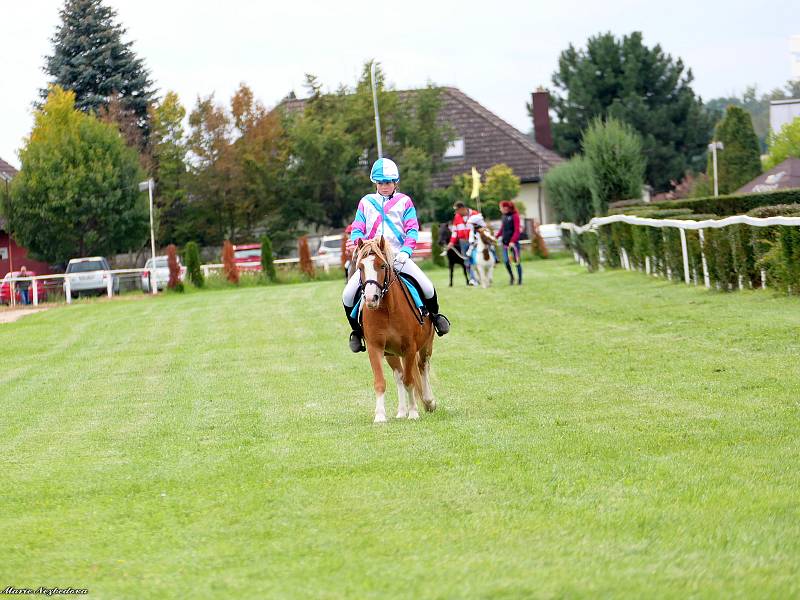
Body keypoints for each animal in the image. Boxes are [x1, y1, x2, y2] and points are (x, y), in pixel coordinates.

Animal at [354, 236, 434, 422]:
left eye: (382, 266)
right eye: (360, 267)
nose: (371, 299)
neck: (387, 310)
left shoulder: (410, 348)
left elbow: (409, 381)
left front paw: (413, 413)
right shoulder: (375, 348)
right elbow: (380, 382)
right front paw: (380, 416)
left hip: (426, 344)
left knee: (422, 366)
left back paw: (428, 402)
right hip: (391, 353)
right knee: (399, 376)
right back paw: (401, 411)